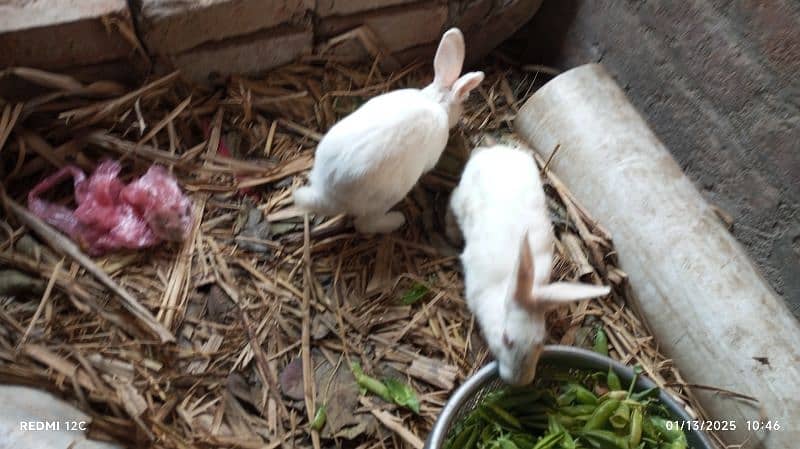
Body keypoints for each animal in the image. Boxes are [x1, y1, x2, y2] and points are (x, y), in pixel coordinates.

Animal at [446, 144, 608, 384]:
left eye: (540, 341)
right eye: (506, 339)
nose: (519, 381)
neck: (504, 290)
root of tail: (495, 150)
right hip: (463, 199)